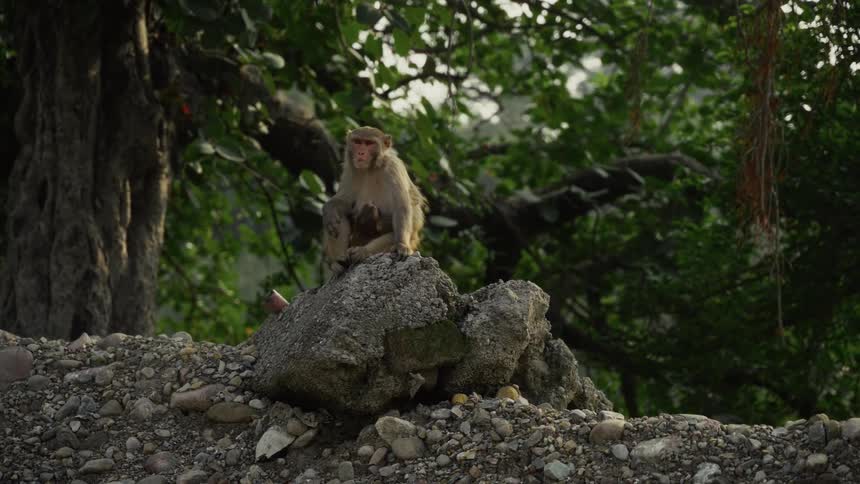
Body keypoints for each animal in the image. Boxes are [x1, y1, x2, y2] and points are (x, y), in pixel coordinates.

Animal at [322, 126, 428, 275]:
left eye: (369, 143)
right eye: (357, 142)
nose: (360, 152)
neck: (370, 168)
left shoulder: (392, 167)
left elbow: (401, 206)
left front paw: (401, 245)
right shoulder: (350, 169)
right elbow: (344, 201)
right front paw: (330, 209)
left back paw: (363, 252)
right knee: (340, 217)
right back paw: (339, 262)